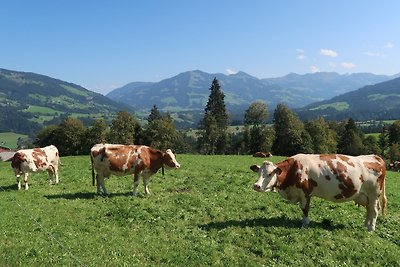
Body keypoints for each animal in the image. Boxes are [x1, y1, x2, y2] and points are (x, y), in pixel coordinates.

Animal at [252, 155, 386, 232]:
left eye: (270, 173)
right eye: (258, 172)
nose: (256, 186)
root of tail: (375, 156)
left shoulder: (305, 193)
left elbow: (305, 209)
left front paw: (305, 223)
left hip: (374, 194)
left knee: (374, 211)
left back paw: (371, 228)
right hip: (366, 196)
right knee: (369, 210)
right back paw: (366, 225)